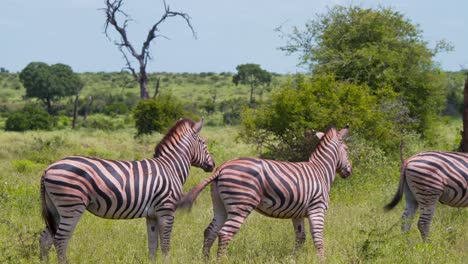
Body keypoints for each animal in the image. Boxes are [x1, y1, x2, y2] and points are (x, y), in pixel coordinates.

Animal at [39, 118, 215, 262]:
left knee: (46, 238)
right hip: (71, 205)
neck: (170, 167)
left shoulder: (152, 215)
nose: (212, 165)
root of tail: (48, 169)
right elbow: (165, 245)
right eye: (204, 143)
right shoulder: (166, 210)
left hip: (55, 209)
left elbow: (153, 245)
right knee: (60, 239)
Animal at [178, 126, 352, 262]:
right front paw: (322, 260)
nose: (349, 170)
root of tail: (222, 167)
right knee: (225, 233)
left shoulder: (298, 213)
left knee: (210, 231)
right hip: (241, 204)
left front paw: (293, 259)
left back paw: (205, 259)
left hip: (220, 205)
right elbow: (318, 238)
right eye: (347, 150)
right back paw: (222, 260)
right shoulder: (317, 208)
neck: (321, 170)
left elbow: (300, 238)